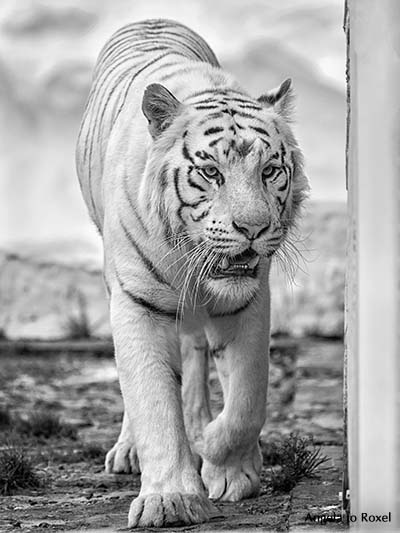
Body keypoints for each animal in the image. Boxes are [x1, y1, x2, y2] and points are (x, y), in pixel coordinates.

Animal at [75, 17, 308, 528]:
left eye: (270, 171)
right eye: (210, 172)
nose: (253, 228)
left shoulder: (247, 302)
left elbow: (247, 400)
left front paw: (228, 465)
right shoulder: (138, 301)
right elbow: (153, 403)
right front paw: (171, 501)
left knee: (197, 353)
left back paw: (202, 426)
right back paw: (129, 451)